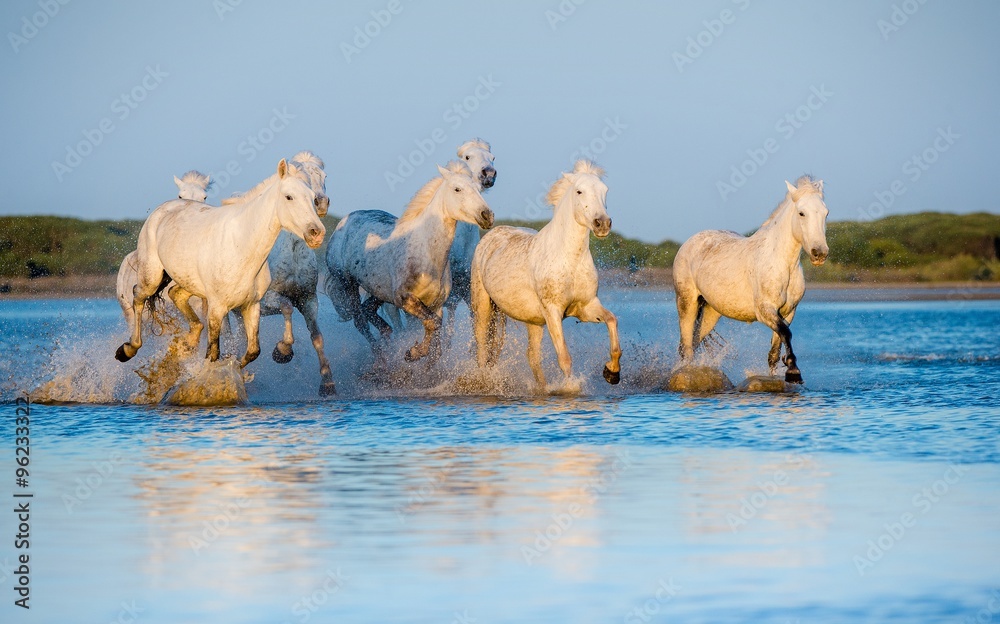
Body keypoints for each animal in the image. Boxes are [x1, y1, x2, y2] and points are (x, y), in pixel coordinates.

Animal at [222, 151, 336, 396]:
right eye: (299, 180)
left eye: (324, 176)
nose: (321, 202)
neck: (292, 252)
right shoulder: (268, 300)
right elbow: (286, 307)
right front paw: (282, 351)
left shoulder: (308, 299)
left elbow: (317, 337)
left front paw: (327, 383)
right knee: (227, 335)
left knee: (242, 337)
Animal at [325, 163, 494, 365]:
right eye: (457, 189)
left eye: (478, 189)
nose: (487, 215)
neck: (425, 253)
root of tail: (341, 224)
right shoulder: (404, 299)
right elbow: (433, 324)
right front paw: (413, 353)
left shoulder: (436, 305)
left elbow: (435, 338)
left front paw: (418, 353)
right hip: (348, 284)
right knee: (360, 322)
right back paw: (380, 356)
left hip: (378, 291)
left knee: (369, 311)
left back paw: (387, 338)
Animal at [470, 159, 621, 390]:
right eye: (579, 191)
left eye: (604, 190)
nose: (602, 223)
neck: (569, 260)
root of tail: (490, 235)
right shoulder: (553, 312)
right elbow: (564, 358)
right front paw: (570, 388)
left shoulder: (586, 307)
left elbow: (612, 321)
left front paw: (612, 373)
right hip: (483, 307)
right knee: (482, 349)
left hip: (533, 322)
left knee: (532, 356)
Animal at [672, 175, 829, 383]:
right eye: (801, 213)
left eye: (826, 213)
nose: (819, 254)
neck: (783, 263)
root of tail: (689, 243)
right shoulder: (765, 311)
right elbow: (786, 334)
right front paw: (794, 372)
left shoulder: (788, 313)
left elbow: (774, 351)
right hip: (686, 302)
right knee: (687, 347)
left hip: (711, 311)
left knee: (694, 342)